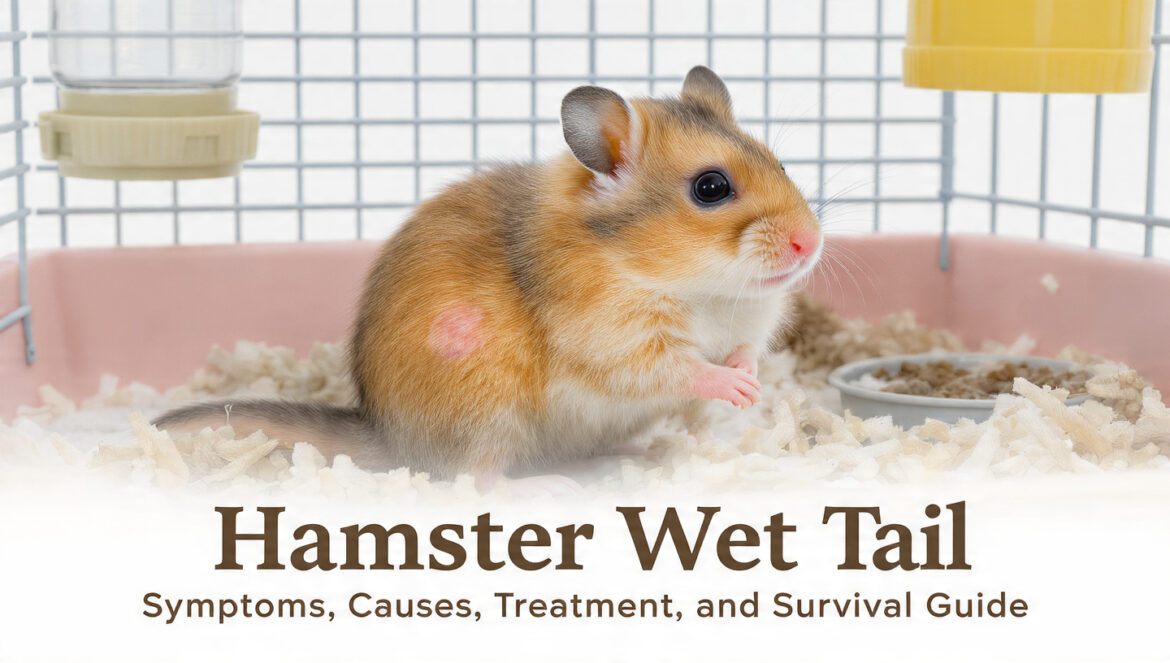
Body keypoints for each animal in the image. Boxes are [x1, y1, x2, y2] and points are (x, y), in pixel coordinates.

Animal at [154, 66, 822, 482]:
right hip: (485, 414)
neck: (700, 288)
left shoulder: (747, 324)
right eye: (711, 187)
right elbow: (682, 368)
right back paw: (550, 486)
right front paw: (738, 390)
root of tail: (388, 438)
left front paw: (750, 380)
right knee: (475, 480)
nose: (811, 243)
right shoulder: (618, 342)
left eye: (781, 162)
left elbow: (743, 351)